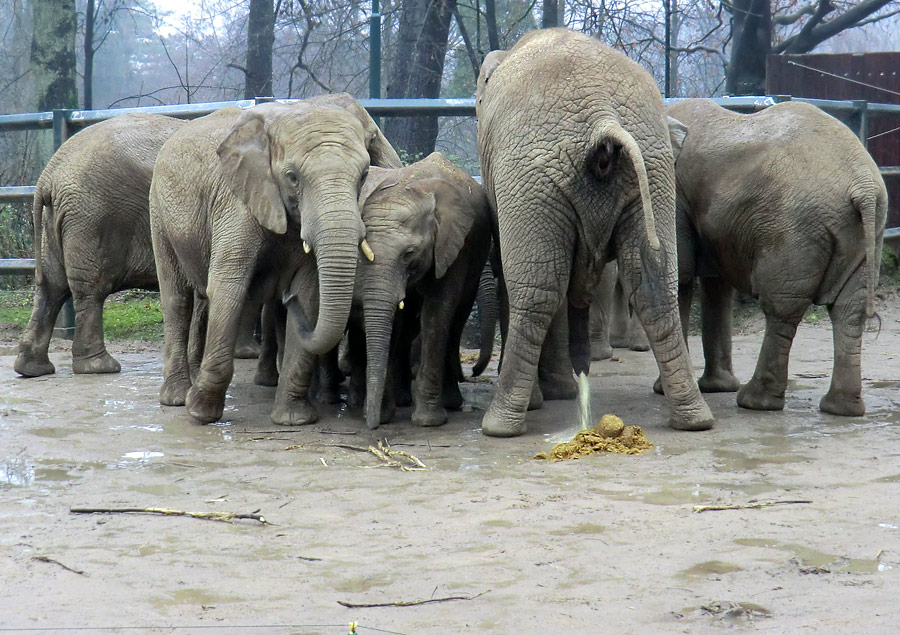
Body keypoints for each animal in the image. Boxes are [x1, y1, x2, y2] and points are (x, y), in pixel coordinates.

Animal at [14, 114, 186, 378]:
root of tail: (50, 174)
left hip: (58, 220)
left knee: (51, 287)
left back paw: (33, 369)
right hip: (95, 216)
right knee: (90, 289)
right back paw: (100, 368)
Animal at [280, 152, 492, 430]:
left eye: (409, 254)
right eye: (362, 247)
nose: (287, 296)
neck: (417, 188)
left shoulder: (456, 247)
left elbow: (437, 313)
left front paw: (426, 421)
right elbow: (395, 320)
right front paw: (381, 413)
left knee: (454, 319)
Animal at [474, 28, 712, 438]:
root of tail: (604, 118)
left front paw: (552, 396)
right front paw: (562, 393)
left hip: (532, 177)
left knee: (536, 291)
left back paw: (500, 425)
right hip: (652, 170)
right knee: (654, 287)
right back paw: (695, 420)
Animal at [668, 98, 884, 418]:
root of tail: (864, 186)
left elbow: (682, 274)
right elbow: (713, 283)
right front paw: (716, 388)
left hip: (795, 226)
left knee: (781, 308)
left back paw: (755, 402)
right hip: (863, 231)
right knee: (849, 309)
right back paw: (841, 409)